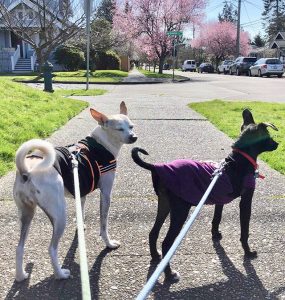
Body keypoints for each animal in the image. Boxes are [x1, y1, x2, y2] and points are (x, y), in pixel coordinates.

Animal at [13, 101, 136, 282]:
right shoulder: (106, 194)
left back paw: (21, 275)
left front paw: (81, 226)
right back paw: (60, 274)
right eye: (119, 129)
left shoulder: (81, 190)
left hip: (27, 213)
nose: (134, 137)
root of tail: (26, 171)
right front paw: (109, 243)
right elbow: (104, 224)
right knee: (51, 249)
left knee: (19, 247)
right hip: (59, 215)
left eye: (131, 126)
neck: (101, 144)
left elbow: (81, 211)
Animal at [131, 109, 278, 282]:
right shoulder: (246, 201)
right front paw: (248, 252)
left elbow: (216, 219)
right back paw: (169, 274)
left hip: (164, 204)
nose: (277, 144)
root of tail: (156, 167)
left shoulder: (220, 199)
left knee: (153, 232)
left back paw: (155, 257)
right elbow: (244, 230)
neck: (237, 161)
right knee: (166, 243)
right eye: (268, 135)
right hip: (180, 210)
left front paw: (215, 235)